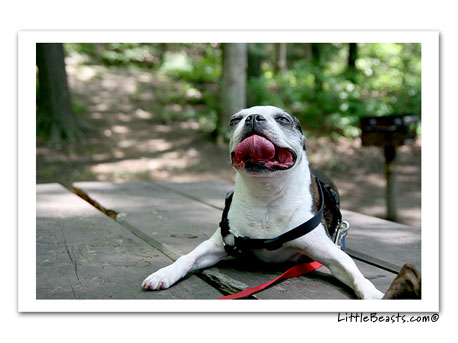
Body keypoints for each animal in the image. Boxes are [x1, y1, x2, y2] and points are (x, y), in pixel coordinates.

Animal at [141, 106, 384, 300]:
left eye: (283, 119)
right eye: (235, 119)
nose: (253, 118)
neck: (267, 193)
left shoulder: (331, 254)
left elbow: (354, 271)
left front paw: (372, 294)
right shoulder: (217, 245)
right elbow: (187, 257)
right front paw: (165, 273)